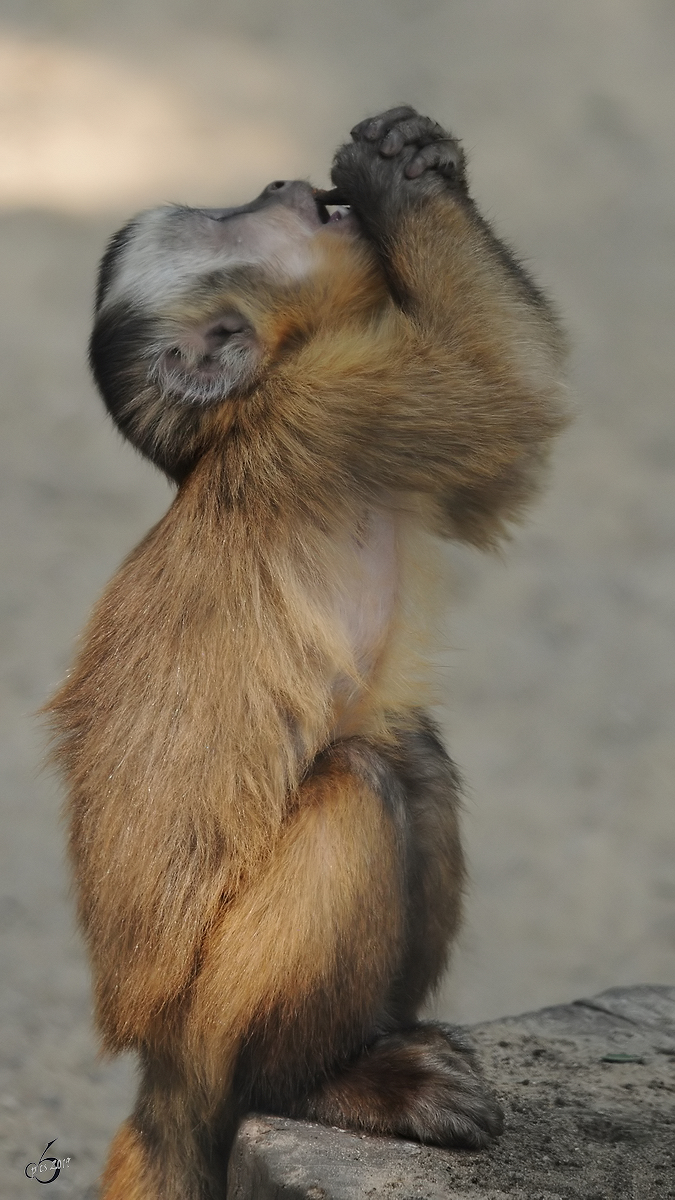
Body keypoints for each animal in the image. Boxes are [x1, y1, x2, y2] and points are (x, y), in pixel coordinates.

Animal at [44, 108, 564, 1195]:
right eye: (242, 212)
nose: (286, 183)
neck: (247, 414)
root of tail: (161, 1077)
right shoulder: (327, 411)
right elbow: (508, 406)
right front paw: (401, 182)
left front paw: (414, 161)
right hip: (209, 1024)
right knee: (364, 780)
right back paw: (306, 1085)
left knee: (411, 756)